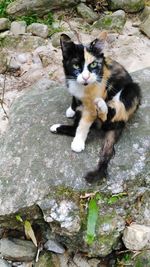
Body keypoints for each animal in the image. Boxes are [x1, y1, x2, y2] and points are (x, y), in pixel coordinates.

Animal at [49, 30, 141, 182]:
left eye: (93, 65)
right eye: (76, 66)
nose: (86, 77)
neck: (82, 87)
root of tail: (122, 122)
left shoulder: (94, 99)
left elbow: (84, 124)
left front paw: (78, 142)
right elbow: (75, 99)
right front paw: (71, 109)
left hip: (132, 90)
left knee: (109, 116)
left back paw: (101, 106)